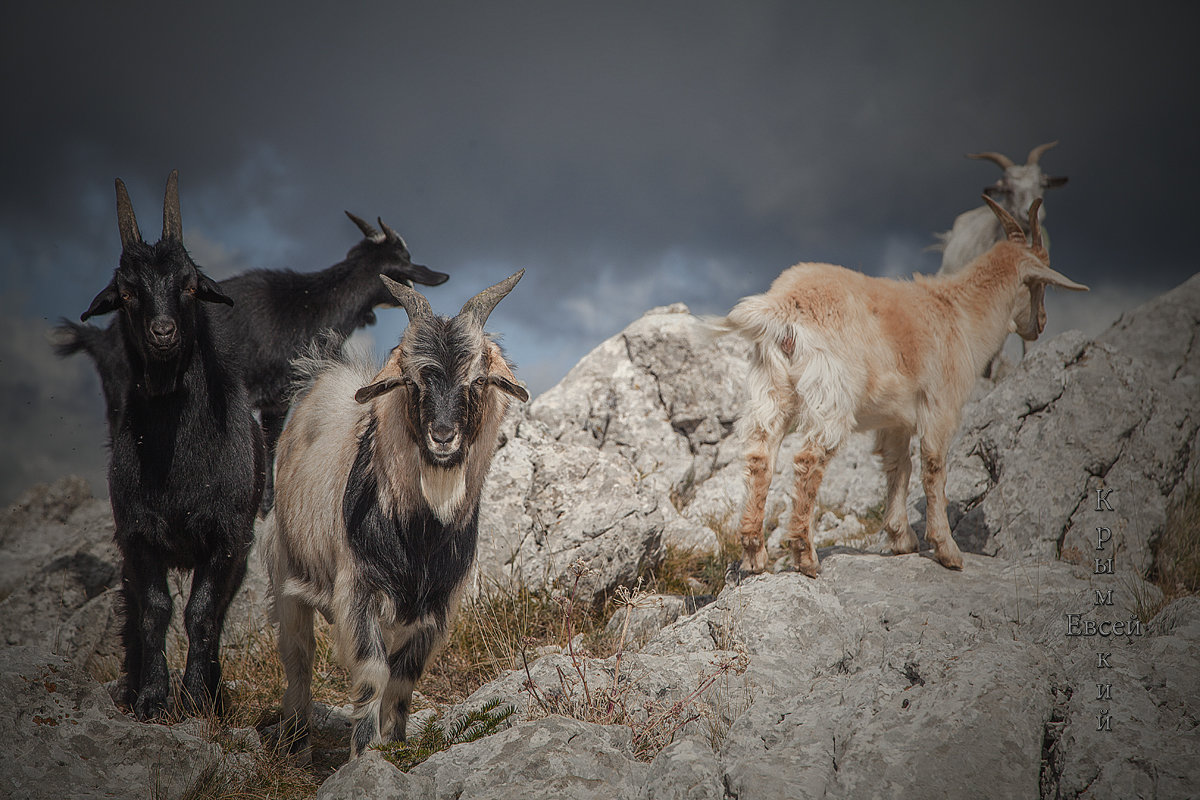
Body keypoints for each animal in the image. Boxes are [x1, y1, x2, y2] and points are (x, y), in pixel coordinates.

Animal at [55, 172, 262, 724]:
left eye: (190, 285)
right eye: (127, 293)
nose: (163, 332)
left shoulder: (225, 536)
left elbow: (203, 614)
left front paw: (195, 699)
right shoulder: (137, 534)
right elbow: (153, 610)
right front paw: (150, 697)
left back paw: (212, 686)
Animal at [265, 271, 528, 762]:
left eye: (478, 379)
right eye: (411, 379)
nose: (442, 437)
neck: (421, 537)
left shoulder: (436, 606)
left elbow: (404, 679)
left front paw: (398, 745)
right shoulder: (358, 590)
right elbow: (373, 673)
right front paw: (364, 753)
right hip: (288, 572)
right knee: (298, 658)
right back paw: (295, 741)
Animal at [710, 197, 1089, 578]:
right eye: (1039, 284)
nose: (1040, 325)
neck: (959, 314)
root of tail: (783, 306)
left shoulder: (896, 419)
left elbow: (898, 466)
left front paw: (901, 538)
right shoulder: (940, 406)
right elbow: (933, 469)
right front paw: (947, 550)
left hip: (770, 390)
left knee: (760, 455)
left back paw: (754, 555)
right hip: (830, 394)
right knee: (808, 459)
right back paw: (805, 557)